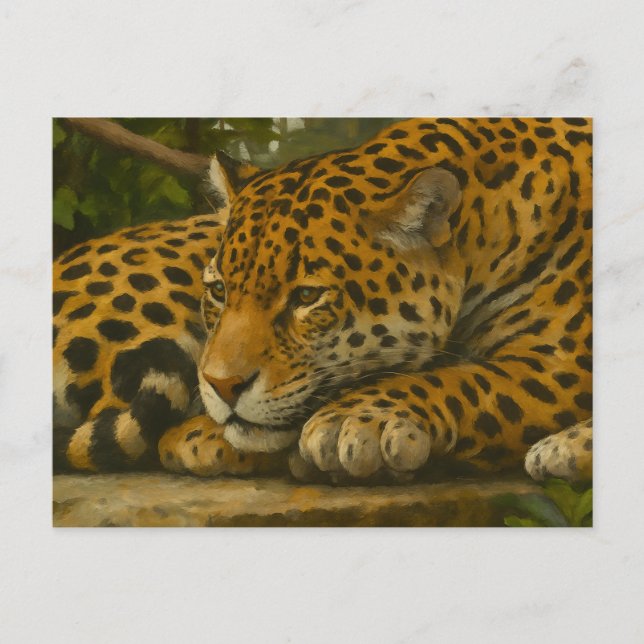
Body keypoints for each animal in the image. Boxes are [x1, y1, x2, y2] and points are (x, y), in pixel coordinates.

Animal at [54, 117, 592, 484]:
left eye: (307, 296)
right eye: (219, 290)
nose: (222, 386)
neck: (486, 224)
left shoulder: (565, 364)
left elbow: (467, 380)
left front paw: (353, 421)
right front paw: (207, 432)